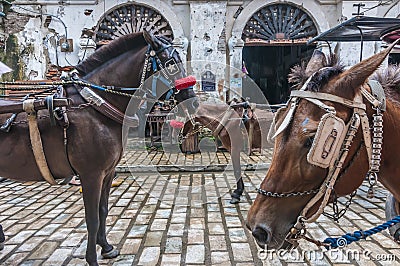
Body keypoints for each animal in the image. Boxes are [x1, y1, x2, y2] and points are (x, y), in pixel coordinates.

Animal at [0, 30, 199, 264]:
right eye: (170, 63)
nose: (193, 103)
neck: (96, 106)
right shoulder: (91, 174)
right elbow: (92, 218)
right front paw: (92, 258)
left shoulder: (108, 172)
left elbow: (103, 210)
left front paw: (106, 247)